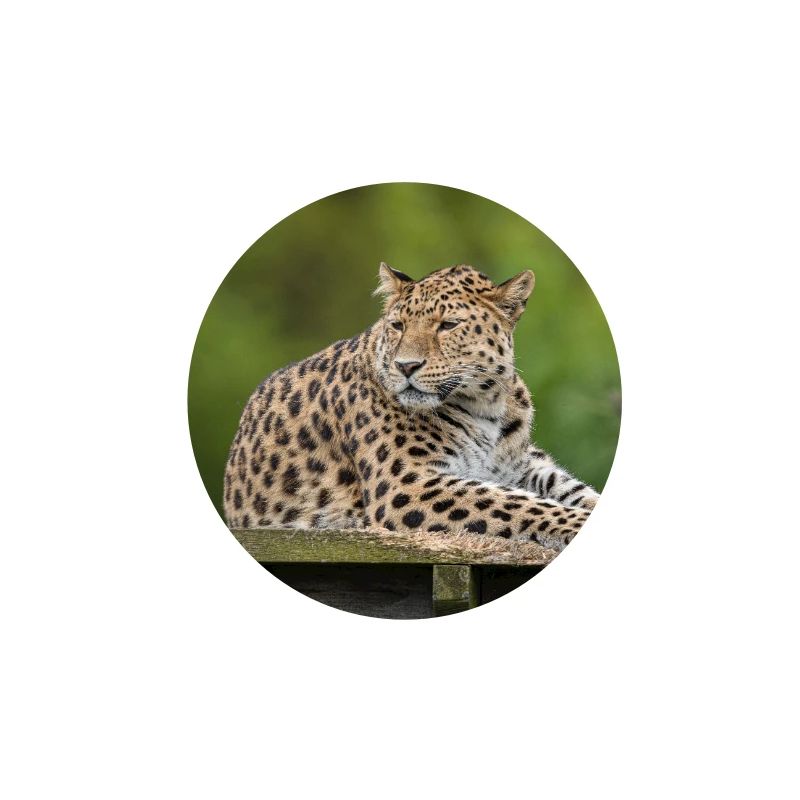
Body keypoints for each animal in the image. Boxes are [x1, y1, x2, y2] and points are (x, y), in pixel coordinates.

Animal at [223, 263, 599, 551]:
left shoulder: (520, 464)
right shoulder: (405, 483)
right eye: (398, 325)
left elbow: (566, 489)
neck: (486, 405)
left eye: (448, 325)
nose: (406, 366)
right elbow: (516, 504)